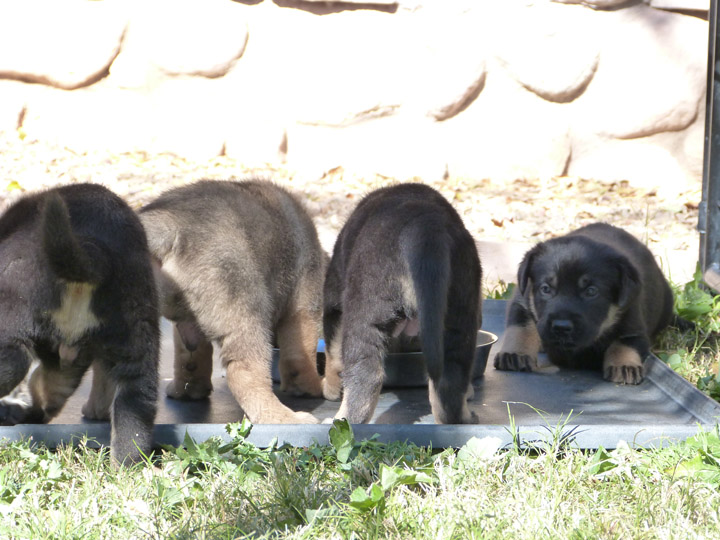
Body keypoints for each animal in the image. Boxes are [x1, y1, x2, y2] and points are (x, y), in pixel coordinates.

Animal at [0, 184, 159, 462]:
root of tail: (92, 247)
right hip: (137, 329)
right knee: (135, 408)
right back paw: (125, 466)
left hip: (13, 308)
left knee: (15, 364)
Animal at [139, 179, 324, 424]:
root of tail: (171, 223)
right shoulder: (302, 312)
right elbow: (301, 358)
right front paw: (313, 386)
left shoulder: (187, 328)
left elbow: (190, 359)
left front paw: (187, 390)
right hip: (246, 312)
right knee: (246, 373)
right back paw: (284, 417)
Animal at [322, 184, 480, 424]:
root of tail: (426, 223)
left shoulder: (334, 304)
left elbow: (332, 354)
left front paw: (329, 387)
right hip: (460, 312)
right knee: (450, 381)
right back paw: (462, 419)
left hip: (366, 314)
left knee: (365, 378)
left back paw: (341, 420)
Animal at [496, 223, 676, 384]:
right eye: (545, 289)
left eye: (591, 291)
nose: (561, 327)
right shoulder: (521, 300)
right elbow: (521, 328)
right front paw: (515, 354)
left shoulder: (634, 325)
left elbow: (624, 343)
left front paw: (625, 365)